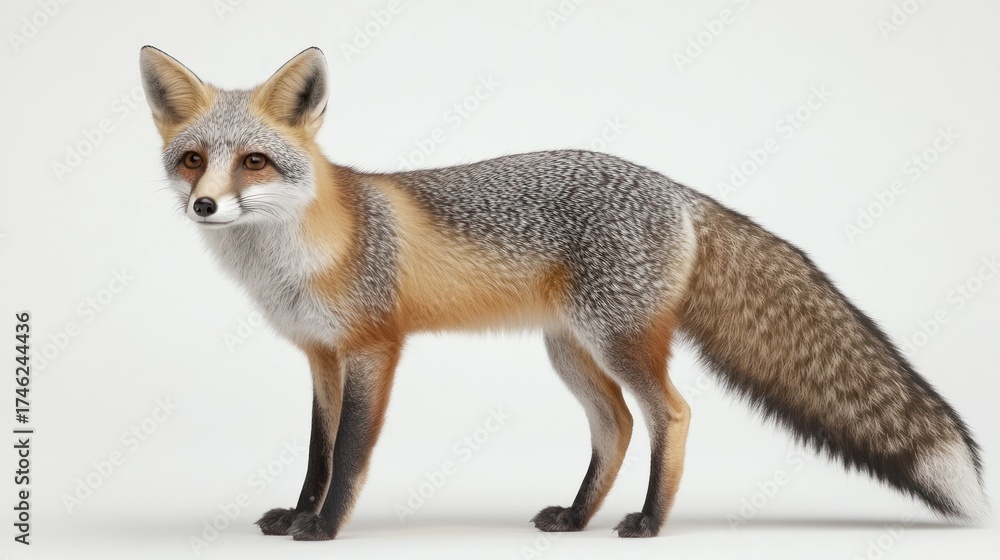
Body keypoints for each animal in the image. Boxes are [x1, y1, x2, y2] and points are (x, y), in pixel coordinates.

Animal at [139, 45, 987, 540]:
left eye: (254, 162)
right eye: (192, 160)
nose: (204, 206)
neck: (296, 256)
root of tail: (677, 189)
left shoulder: (375, 348)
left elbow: (349, 452)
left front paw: (323, 528)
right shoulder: (320, 354)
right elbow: (316, 450)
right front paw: (297, 513)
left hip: (618, 340)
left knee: (670, 414)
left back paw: (647, 521)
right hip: (569, 350)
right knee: (616, 425)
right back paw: (578, 515)